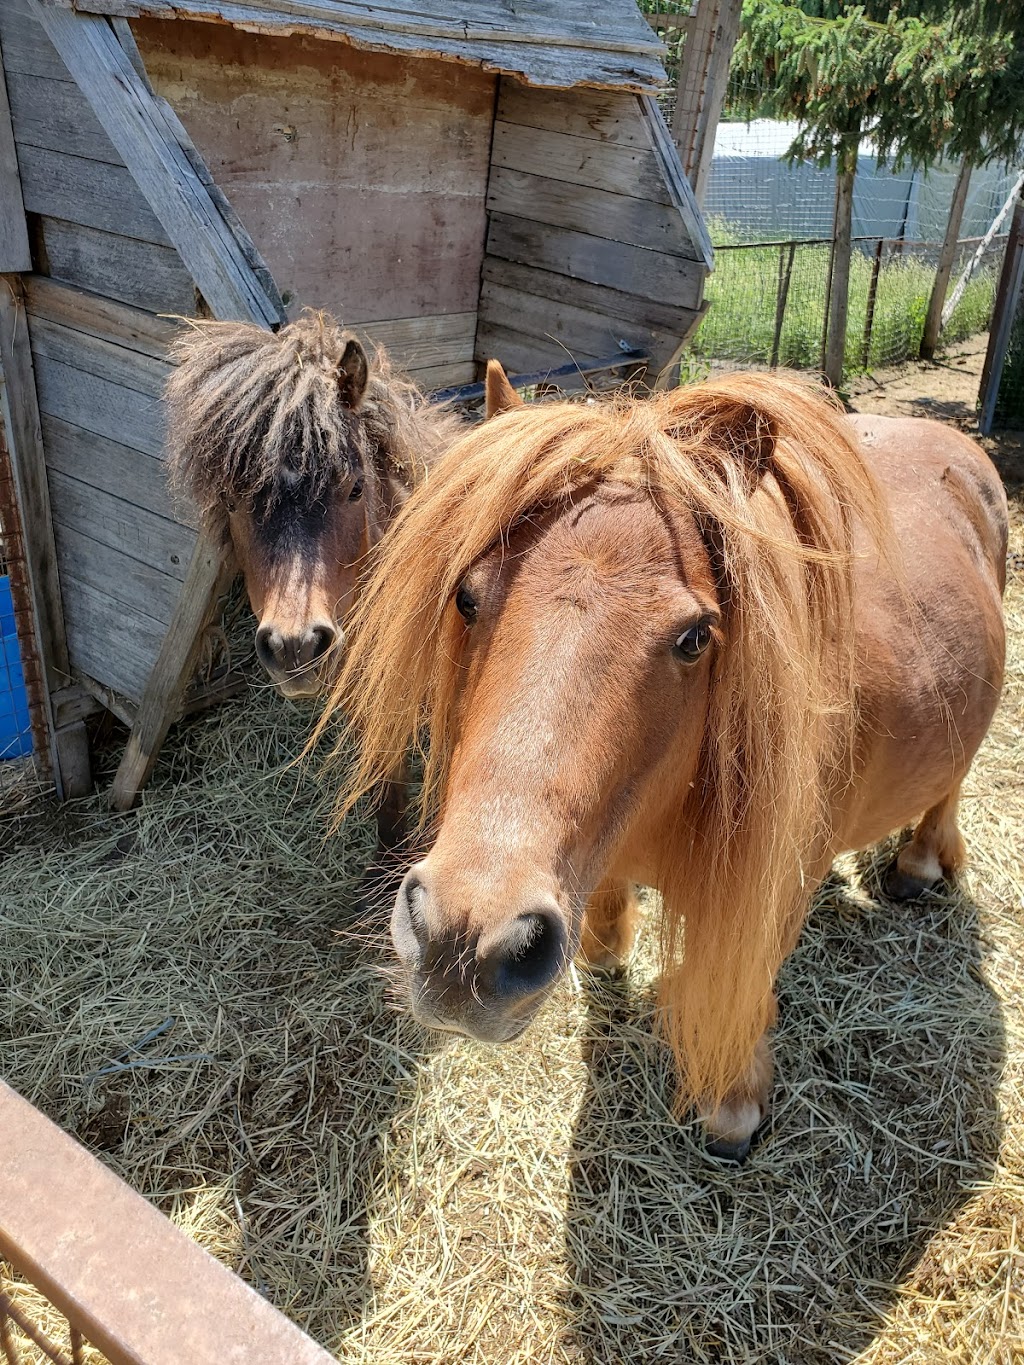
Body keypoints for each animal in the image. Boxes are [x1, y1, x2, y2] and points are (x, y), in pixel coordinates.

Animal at [329, 365, 1010, 1162]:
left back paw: (921, 862)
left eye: (695, 637)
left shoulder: (772, 892)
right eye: (466, 598)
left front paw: (731, 1104)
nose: (464, 940)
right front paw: (602, 954)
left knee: (951, 785)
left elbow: (741, 990)